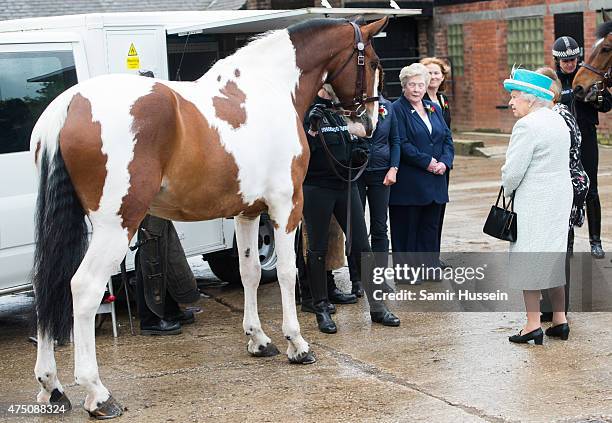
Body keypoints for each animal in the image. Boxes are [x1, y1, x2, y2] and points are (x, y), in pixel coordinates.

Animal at [29, 17, 388, 420]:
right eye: (375, 63)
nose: (369, 122)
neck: (269, 87)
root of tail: (70, 103)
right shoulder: (286, 206)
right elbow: (286, 272)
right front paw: (297, 344)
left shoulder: (248, 212)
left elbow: (250, 273)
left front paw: (259, 340)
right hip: (116, 225)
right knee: (84, 289)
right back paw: (97, 393)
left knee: (49, 284)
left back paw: (51, 385)